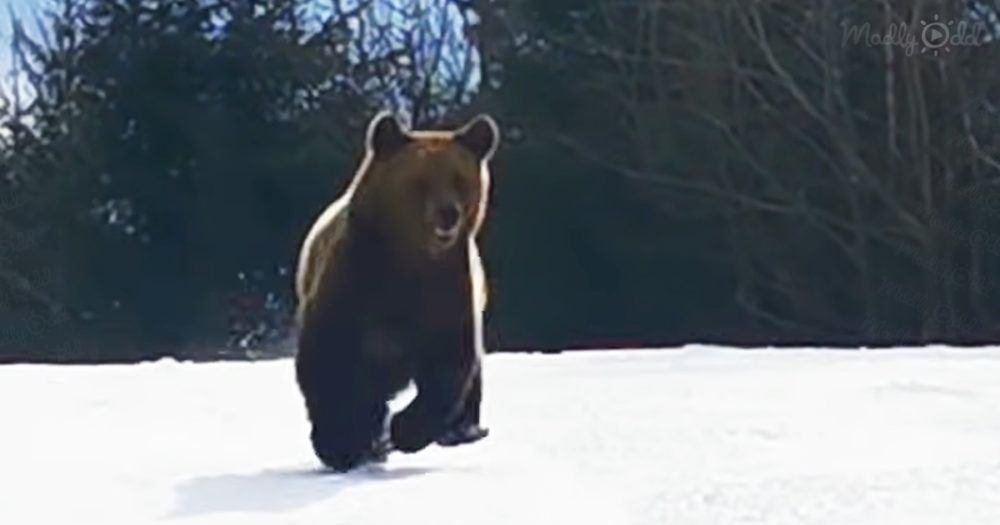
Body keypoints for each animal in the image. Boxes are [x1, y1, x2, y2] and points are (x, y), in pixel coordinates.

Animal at [293, 110, 500, 472]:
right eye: (419, 181)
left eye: (459, 179)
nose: (448, 214)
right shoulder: (352, 286)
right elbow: (327, 361)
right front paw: (341, 443)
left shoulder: (448, 293)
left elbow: (449, 366)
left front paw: (406, 430)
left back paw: (462, 429)